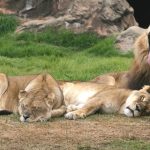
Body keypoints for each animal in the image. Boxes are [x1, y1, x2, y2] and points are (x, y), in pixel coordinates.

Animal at [18, 81, 150, 120]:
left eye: (147, 111)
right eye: (142, 98)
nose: (138, 108)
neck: (121, 107)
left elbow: (86, 107)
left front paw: (72, 109)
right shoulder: (98, 98)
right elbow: (87, 107)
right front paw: (73, 114)